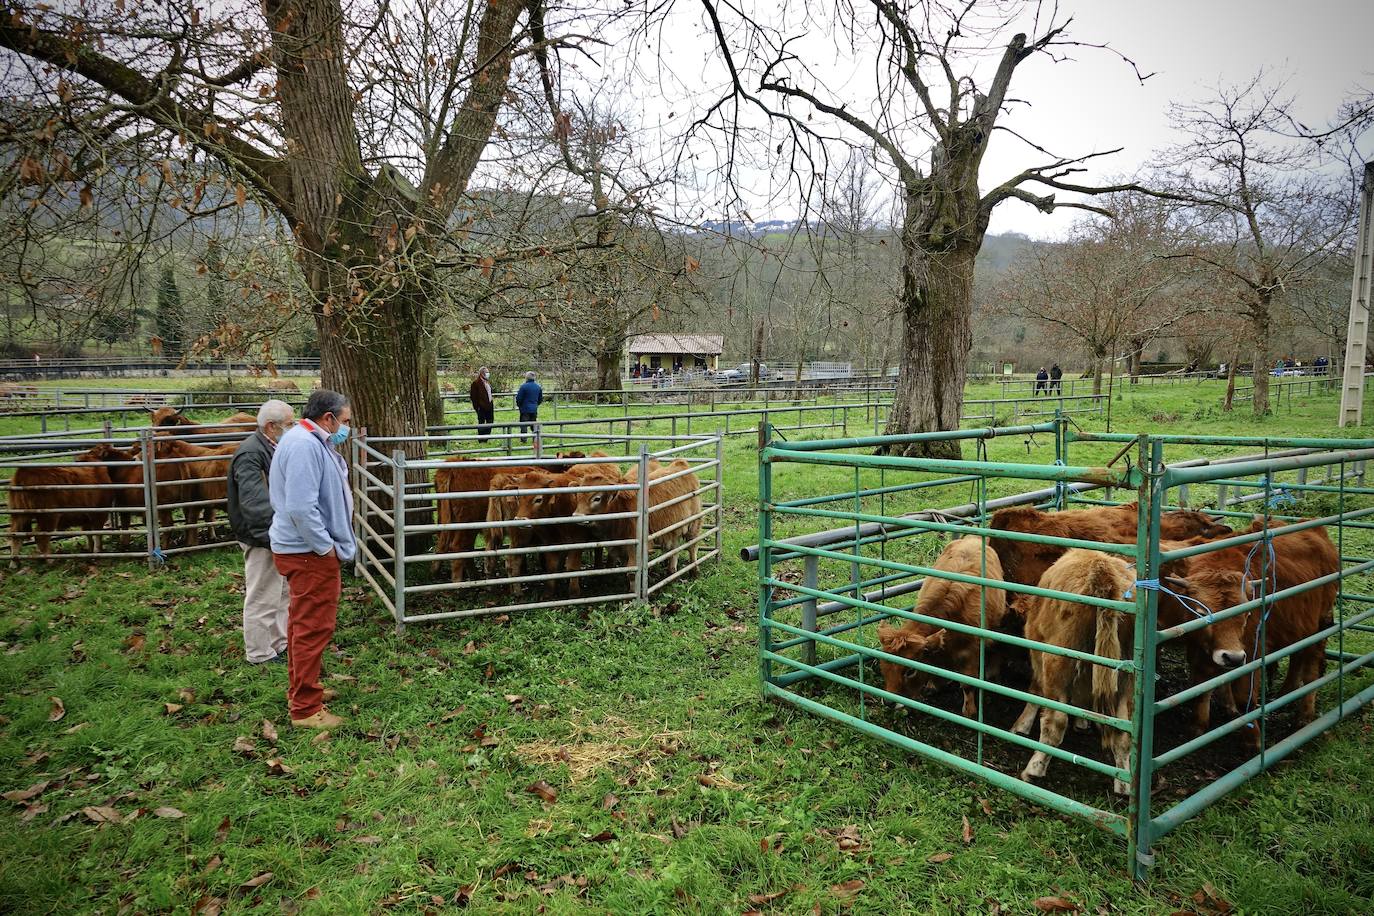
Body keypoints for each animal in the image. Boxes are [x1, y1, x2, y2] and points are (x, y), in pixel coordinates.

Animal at [879, 532, 1011, 719]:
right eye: (883, 664)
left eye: (910, 670)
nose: (889, 702)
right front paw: (934, 684)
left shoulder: (972, 652)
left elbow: (967, 684)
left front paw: (969, 710)